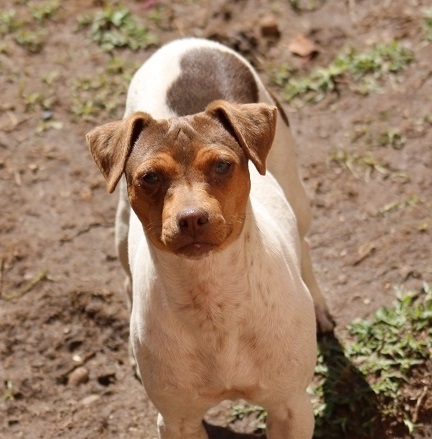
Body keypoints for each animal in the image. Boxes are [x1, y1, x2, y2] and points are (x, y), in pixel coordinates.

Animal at [86, 37, 332, 439]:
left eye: (222, 165)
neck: (212, 298)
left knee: (305, 242)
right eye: (149, 177)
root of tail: (186, 43)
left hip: (295, 189)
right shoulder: (178, 420)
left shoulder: (290, 407)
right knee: (125, 277)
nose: (191, 218)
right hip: (121, 227)